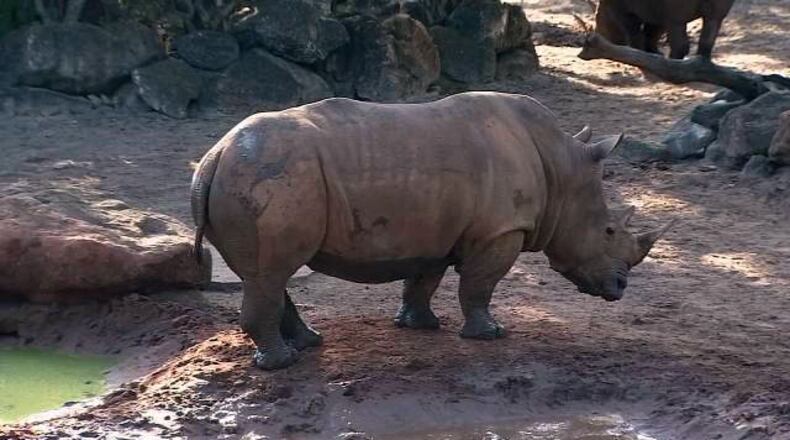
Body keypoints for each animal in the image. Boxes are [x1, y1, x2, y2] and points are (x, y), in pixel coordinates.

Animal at [191, 92, 673, 370]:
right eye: (608, 231)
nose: (620, 288)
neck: (562, 169)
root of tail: (214, 156)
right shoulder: (500, 231)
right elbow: (479, 285)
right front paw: (489, 335)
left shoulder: (436, 232)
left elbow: (423, 280)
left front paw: (418, 326)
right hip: (268, 177)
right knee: (271, 273)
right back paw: (282, 364)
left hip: (249, 177)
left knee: (267, 274)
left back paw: (309, 343)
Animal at [594, 0, 735, 59]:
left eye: (596, 19)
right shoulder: (658, 14)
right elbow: (651, 34)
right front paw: (654, 55)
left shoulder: (623, 12)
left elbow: (634, 33)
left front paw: (638, 55)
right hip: (715, 14)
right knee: (710, 32)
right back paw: (702, 63)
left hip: (676, 16)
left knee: (680, 42)